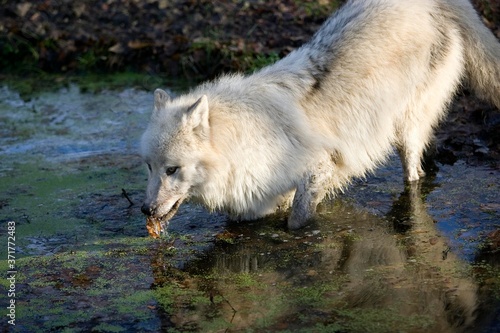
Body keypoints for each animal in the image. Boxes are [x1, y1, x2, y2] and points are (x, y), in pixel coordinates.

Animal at [140, 0, 496, 230]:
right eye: (150, 167)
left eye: (172, 169)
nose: (145, 209)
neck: (241, 141)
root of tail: (434, 3)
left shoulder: (320, 166)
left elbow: (297, 222)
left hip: (405, 129)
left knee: (413, 174)